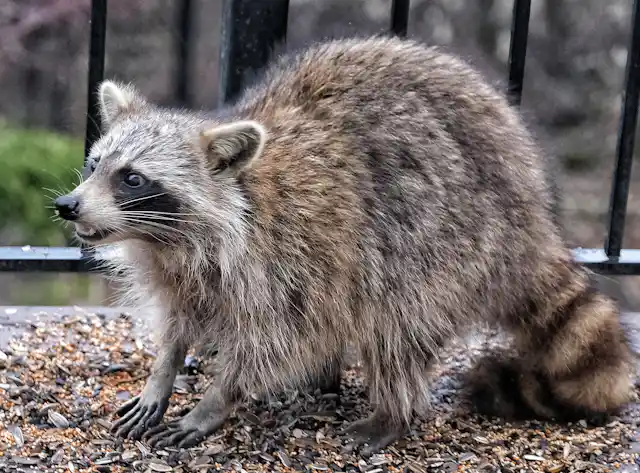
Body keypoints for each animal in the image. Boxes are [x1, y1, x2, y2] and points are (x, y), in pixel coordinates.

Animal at [53, 36, 634, 454]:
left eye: (132, 178)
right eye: (94, 164)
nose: (68, 205)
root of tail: (534, 215)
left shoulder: (293, 258)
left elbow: (272, 345)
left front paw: (217, 400)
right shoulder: (175, 270)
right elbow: (178, 320)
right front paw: (164, 370)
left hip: (449, 244)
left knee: (398, 324)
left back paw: (395, 412)